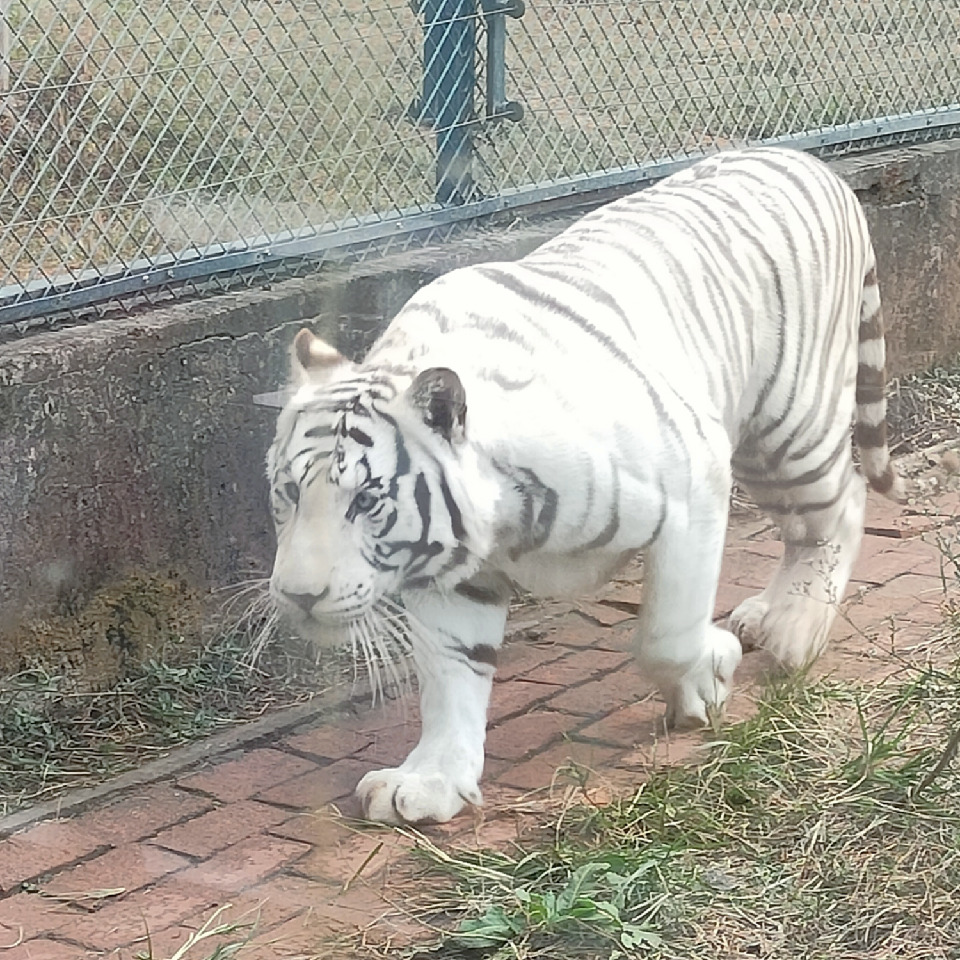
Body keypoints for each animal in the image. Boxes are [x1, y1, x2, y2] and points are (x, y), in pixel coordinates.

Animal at [266, 148, 904, 824]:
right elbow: (451, 675)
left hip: (788, 425)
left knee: (841, 508)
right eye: (289, 494)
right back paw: (766, 615)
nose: (297, 595)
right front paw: (432, 780)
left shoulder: (692, 489)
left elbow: (665, 635)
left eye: (366, 500)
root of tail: (807, 160)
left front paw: (709, 674)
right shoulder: (452, 571)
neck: (503, 519)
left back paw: (793, 631)